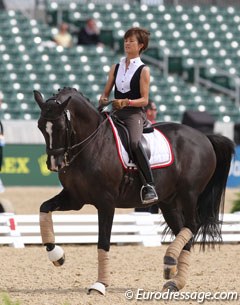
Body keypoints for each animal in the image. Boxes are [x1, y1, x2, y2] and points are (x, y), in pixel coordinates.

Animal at [33, 86, 234, 294]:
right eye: (40, 126)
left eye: (60, 127)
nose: (54, 164)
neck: (92, 144)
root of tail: (204, 137)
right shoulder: (74, 199)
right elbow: (44, 208)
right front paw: (57, 255)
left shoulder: (106, 203)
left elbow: (103, 241)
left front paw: (100, 284)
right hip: (168, 203)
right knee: (185, 233)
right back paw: (174, 279)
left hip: (189, 194)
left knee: (193, 225)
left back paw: (170, 261)